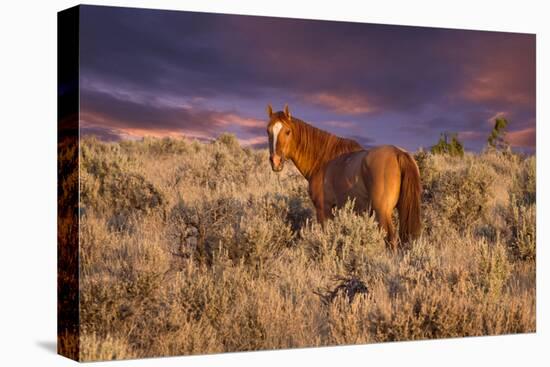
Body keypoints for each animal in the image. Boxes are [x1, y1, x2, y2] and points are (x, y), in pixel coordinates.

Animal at [268, 105, 422, 252]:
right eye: (268, 131)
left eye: (288, 131)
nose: (275, 161)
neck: (322, 161)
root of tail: (398, 153)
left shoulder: (323, 209)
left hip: (382, 212)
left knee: (390, 240)